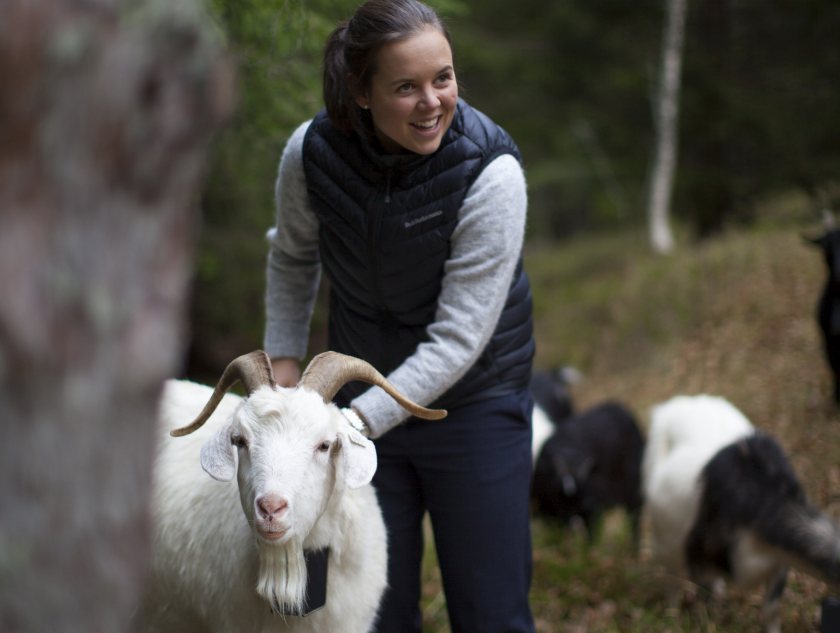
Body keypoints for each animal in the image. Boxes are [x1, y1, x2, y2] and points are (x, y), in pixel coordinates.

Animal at [644, 392, 840, 628]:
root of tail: (674, 407)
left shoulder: (779, 564)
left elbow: (771, 609)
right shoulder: (698, 552)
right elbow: (706, 601)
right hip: (666, 541)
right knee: (671, 577)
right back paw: (672, 615)